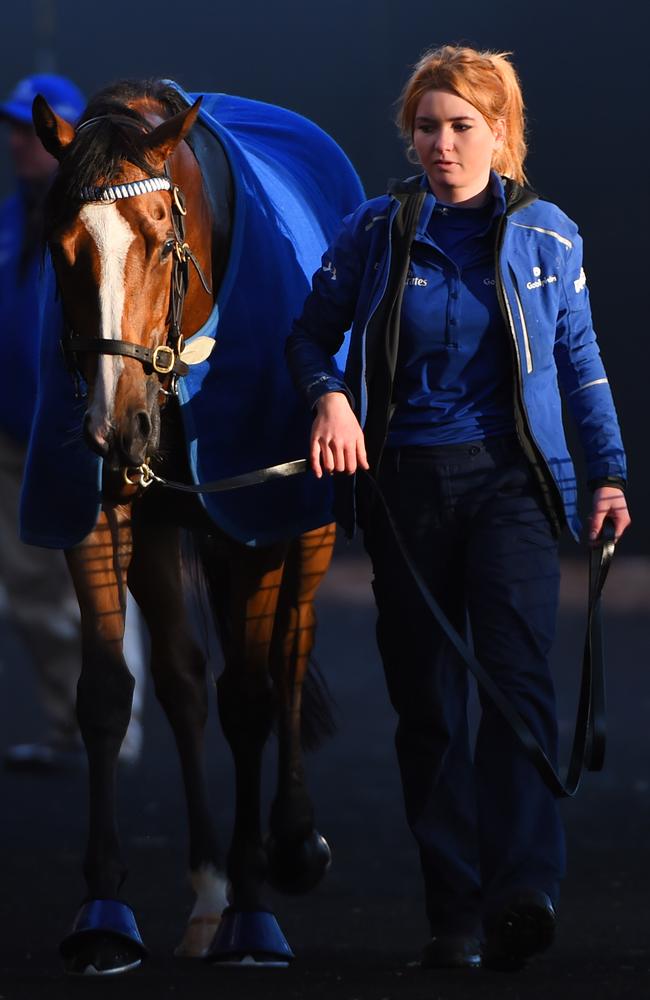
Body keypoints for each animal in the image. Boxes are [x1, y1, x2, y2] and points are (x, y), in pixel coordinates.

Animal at [27, 80, 362, 976]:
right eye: (61, 246)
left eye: (160, 240)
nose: (115, 427)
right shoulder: (101, 510)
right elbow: (110, 692)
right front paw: (104, 910)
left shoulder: (253, 513)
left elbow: (249, 695)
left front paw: (253, 910)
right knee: (180, 678)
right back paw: (208, 888)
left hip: (305, 511)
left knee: (291, 649)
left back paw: (289, 846)